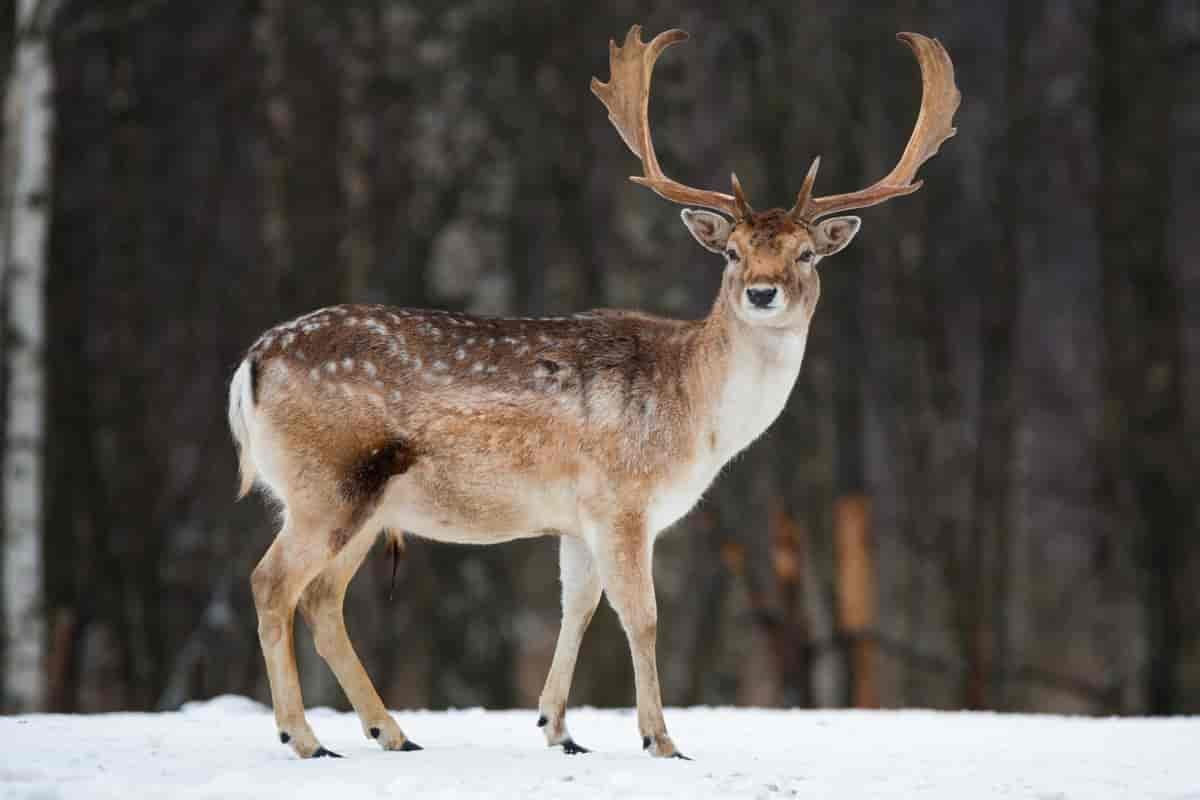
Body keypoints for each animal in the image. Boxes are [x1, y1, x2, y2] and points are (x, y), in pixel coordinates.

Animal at [226, 25, 955, 762]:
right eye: (732, 253)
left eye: (806, 253)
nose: (761, 291)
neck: (697, 418)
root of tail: (251, 366)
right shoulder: (621, 497)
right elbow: (642, 615)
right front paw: (661, 739)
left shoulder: (576, 518)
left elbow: (577, 605)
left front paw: (558, 728)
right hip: (328, 483)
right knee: (272, 584)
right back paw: (304, 737)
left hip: (364, 504)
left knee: (321, 599)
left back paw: (392, 733)